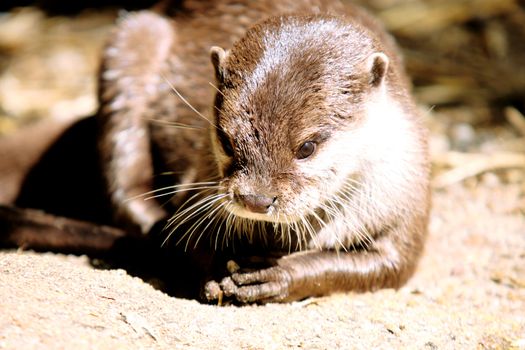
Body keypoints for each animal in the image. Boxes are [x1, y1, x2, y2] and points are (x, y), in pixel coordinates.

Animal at [1, 0, 430, 304]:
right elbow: (188, 238)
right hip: (132, 42)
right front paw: (213, 268)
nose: (255, 199)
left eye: (307, 147)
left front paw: (275, 275)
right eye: (226, 139)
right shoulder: (197, 184)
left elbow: (388, 266)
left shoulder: (406, 201)